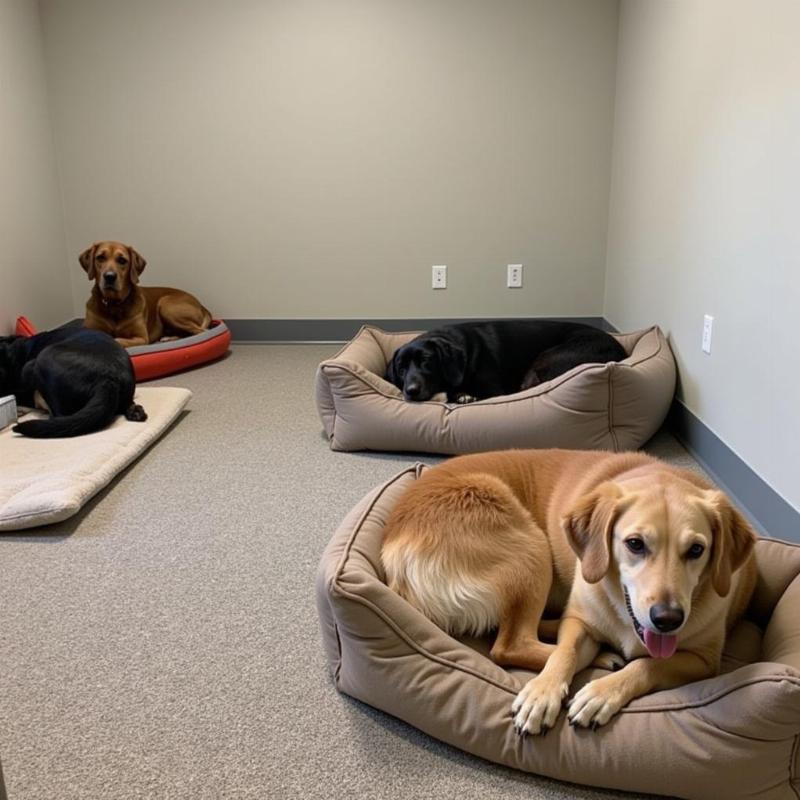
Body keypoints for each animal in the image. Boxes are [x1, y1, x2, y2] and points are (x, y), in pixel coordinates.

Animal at [80, 241, 212, 346]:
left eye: (122, 260)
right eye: (100, 257)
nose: (109, 276)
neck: (114, 304)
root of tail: (202, 307)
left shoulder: (141, 338)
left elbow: (117, 340)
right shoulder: (90, 329)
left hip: (166, 305)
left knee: (201, 332)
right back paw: (169, 338)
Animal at [382, 446, 756, 736]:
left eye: (696, 550)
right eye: (634, 544)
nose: (667, 619)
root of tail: (395, 546)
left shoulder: (705, 661)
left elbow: (648, 666)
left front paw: (601, 693)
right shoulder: (580, 620)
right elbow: (566, 652)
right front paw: (542, 694)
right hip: (531, 550)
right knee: (509, 644)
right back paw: (600, 655)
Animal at [386, 318, 624, 404]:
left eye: (426, 361)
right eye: (401, 368)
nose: (411, 391)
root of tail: (620, 349)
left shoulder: (494, 391)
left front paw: (461, 395)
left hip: (546, 359)